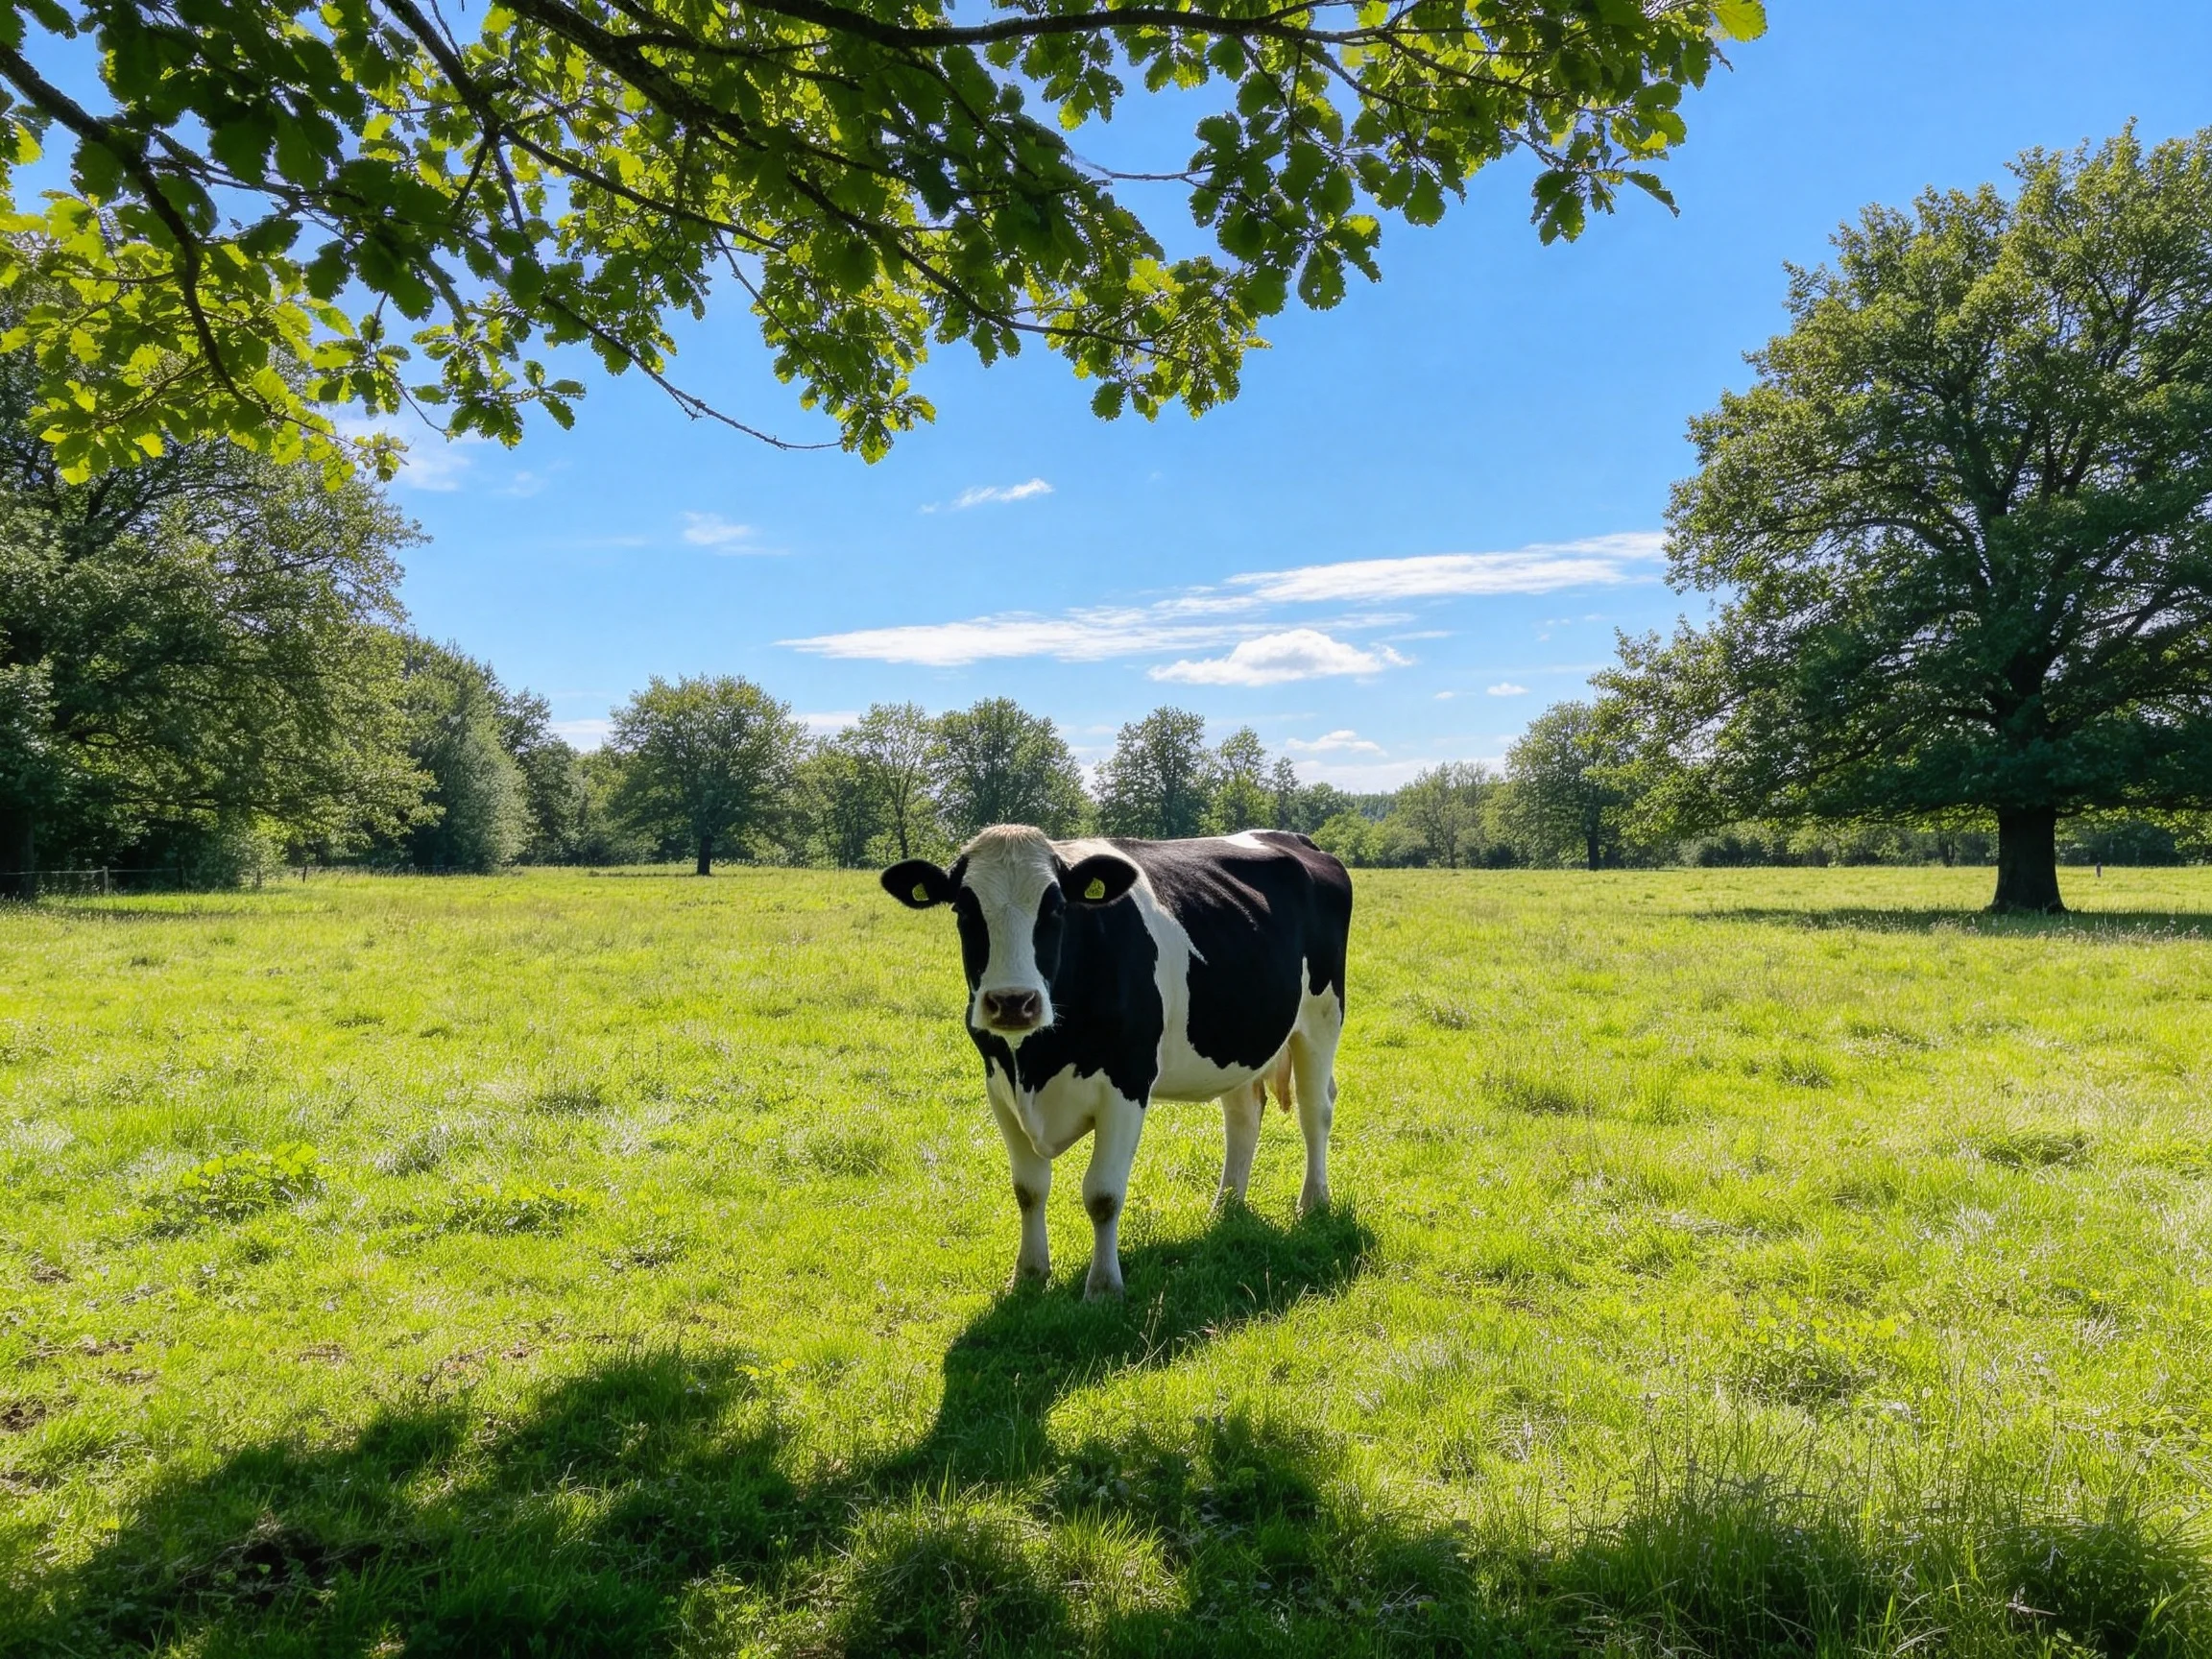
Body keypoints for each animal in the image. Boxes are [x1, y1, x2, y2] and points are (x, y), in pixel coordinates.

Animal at [881, 825, 1352, 1300]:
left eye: (1056, 907)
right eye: (963, 908)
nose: (1012, 1003)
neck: (1036, 1063)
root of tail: (1294, 838)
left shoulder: (1127, 1085)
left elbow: (1102, 1195)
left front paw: (1104, 1287)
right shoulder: (1000, 1085)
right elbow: (1028, 1189)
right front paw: (1029, 1275)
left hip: (1322, 1018)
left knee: (1316, 1110)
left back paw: (1313, 1202)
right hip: (1237, 1037)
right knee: (1243, 1115)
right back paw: (1226, 1207)